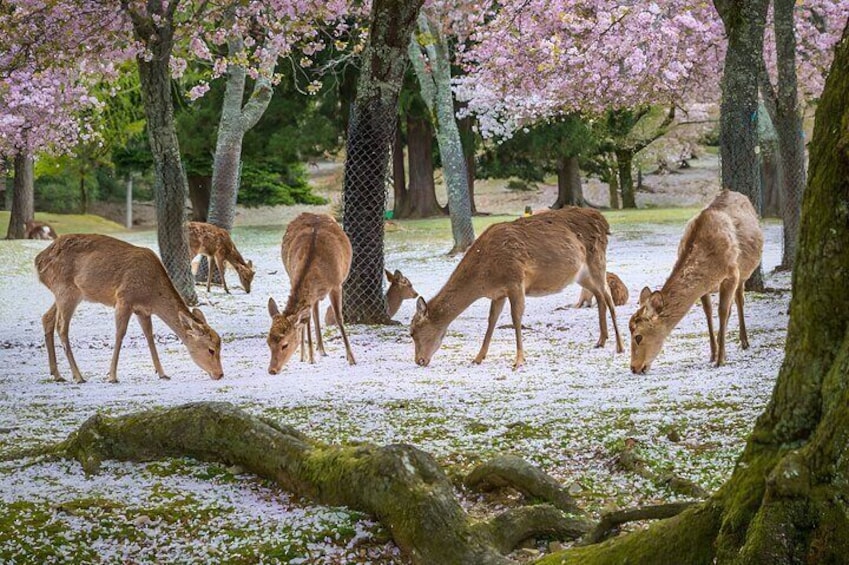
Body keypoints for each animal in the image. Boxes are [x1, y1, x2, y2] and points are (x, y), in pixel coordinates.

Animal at [34, 234, 224, 384]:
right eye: (211, 349)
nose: (220, 374)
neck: (152, 294)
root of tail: (38, 261)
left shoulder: (143, 310)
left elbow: (149, 335)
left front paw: (162, 373)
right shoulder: (124, 299)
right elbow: (120, 334)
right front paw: (112, 376)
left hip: (66, 293)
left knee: (47, 318)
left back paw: (57, 374)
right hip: (66, 290)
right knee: (61, 327)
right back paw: (78, 376)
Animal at [266, 213, 356, 374]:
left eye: (285, 344)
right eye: (268, 342)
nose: (272, 370)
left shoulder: (337, 284)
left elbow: (339, 318)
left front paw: (351, 358)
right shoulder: (293, 279)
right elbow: (305, 320)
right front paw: (309, 357)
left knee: (314, 311)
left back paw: (321, 350)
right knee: (312, 312)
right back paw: (312, 352)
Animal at [410, 205, 624, 368]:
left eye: (413, 332)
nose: (419, 361)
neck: (484, 276)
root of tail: (603, 221)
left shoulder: (515, 281)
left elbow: (515, 318)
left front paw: (519, 360)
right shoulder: (498, 293)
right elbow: (491, 321)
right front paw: (478, 358)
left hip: (597, 262)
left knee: (609, 297)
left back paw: (620, 346)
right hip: (581, 275)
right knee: (599, 296)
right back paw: (601, 340)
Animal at [628, 192, 760, 372]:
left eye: (638, 336)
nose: (634, 368)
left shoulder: (732, 274)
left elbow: (722, 311)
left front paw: (720, 360)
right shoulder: (705, 287)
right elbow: (708, 313)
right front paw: (713, 354)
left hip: (744, 273)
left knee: (739, 299)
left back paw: (745, 342)